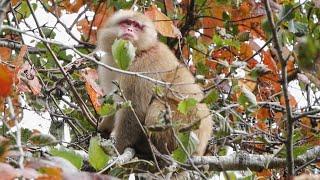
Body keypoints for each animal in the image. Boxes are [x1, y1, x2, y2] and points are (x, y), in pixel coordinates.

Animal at [97, 9, 212, 157]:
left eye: (137, 26)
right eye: (127, 23)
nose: (129, 29)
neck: (139, 52)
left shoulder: (141, 68)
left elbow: (135, 110)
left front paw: (118, 147)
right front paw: (104, 126)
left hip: (182, 128)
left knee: (158, 105)